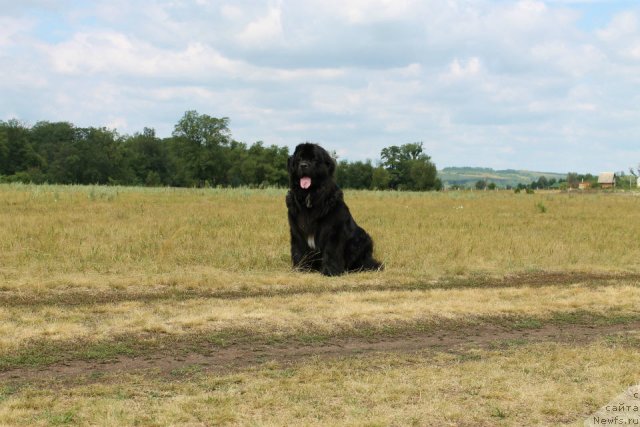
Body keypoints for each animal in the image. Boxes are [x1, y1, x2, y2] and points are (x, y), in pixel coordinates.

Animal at [284, 144, 380, 278]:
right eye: (299, 158)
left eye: (314, 159)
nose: (303, 165)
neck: (310, 196)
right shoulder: (297, 229)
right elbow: (299, 249)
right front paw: (301, 268)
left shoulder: (333, 230)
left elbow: (331, 251)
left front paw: (330, 271)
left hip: (363, 238)